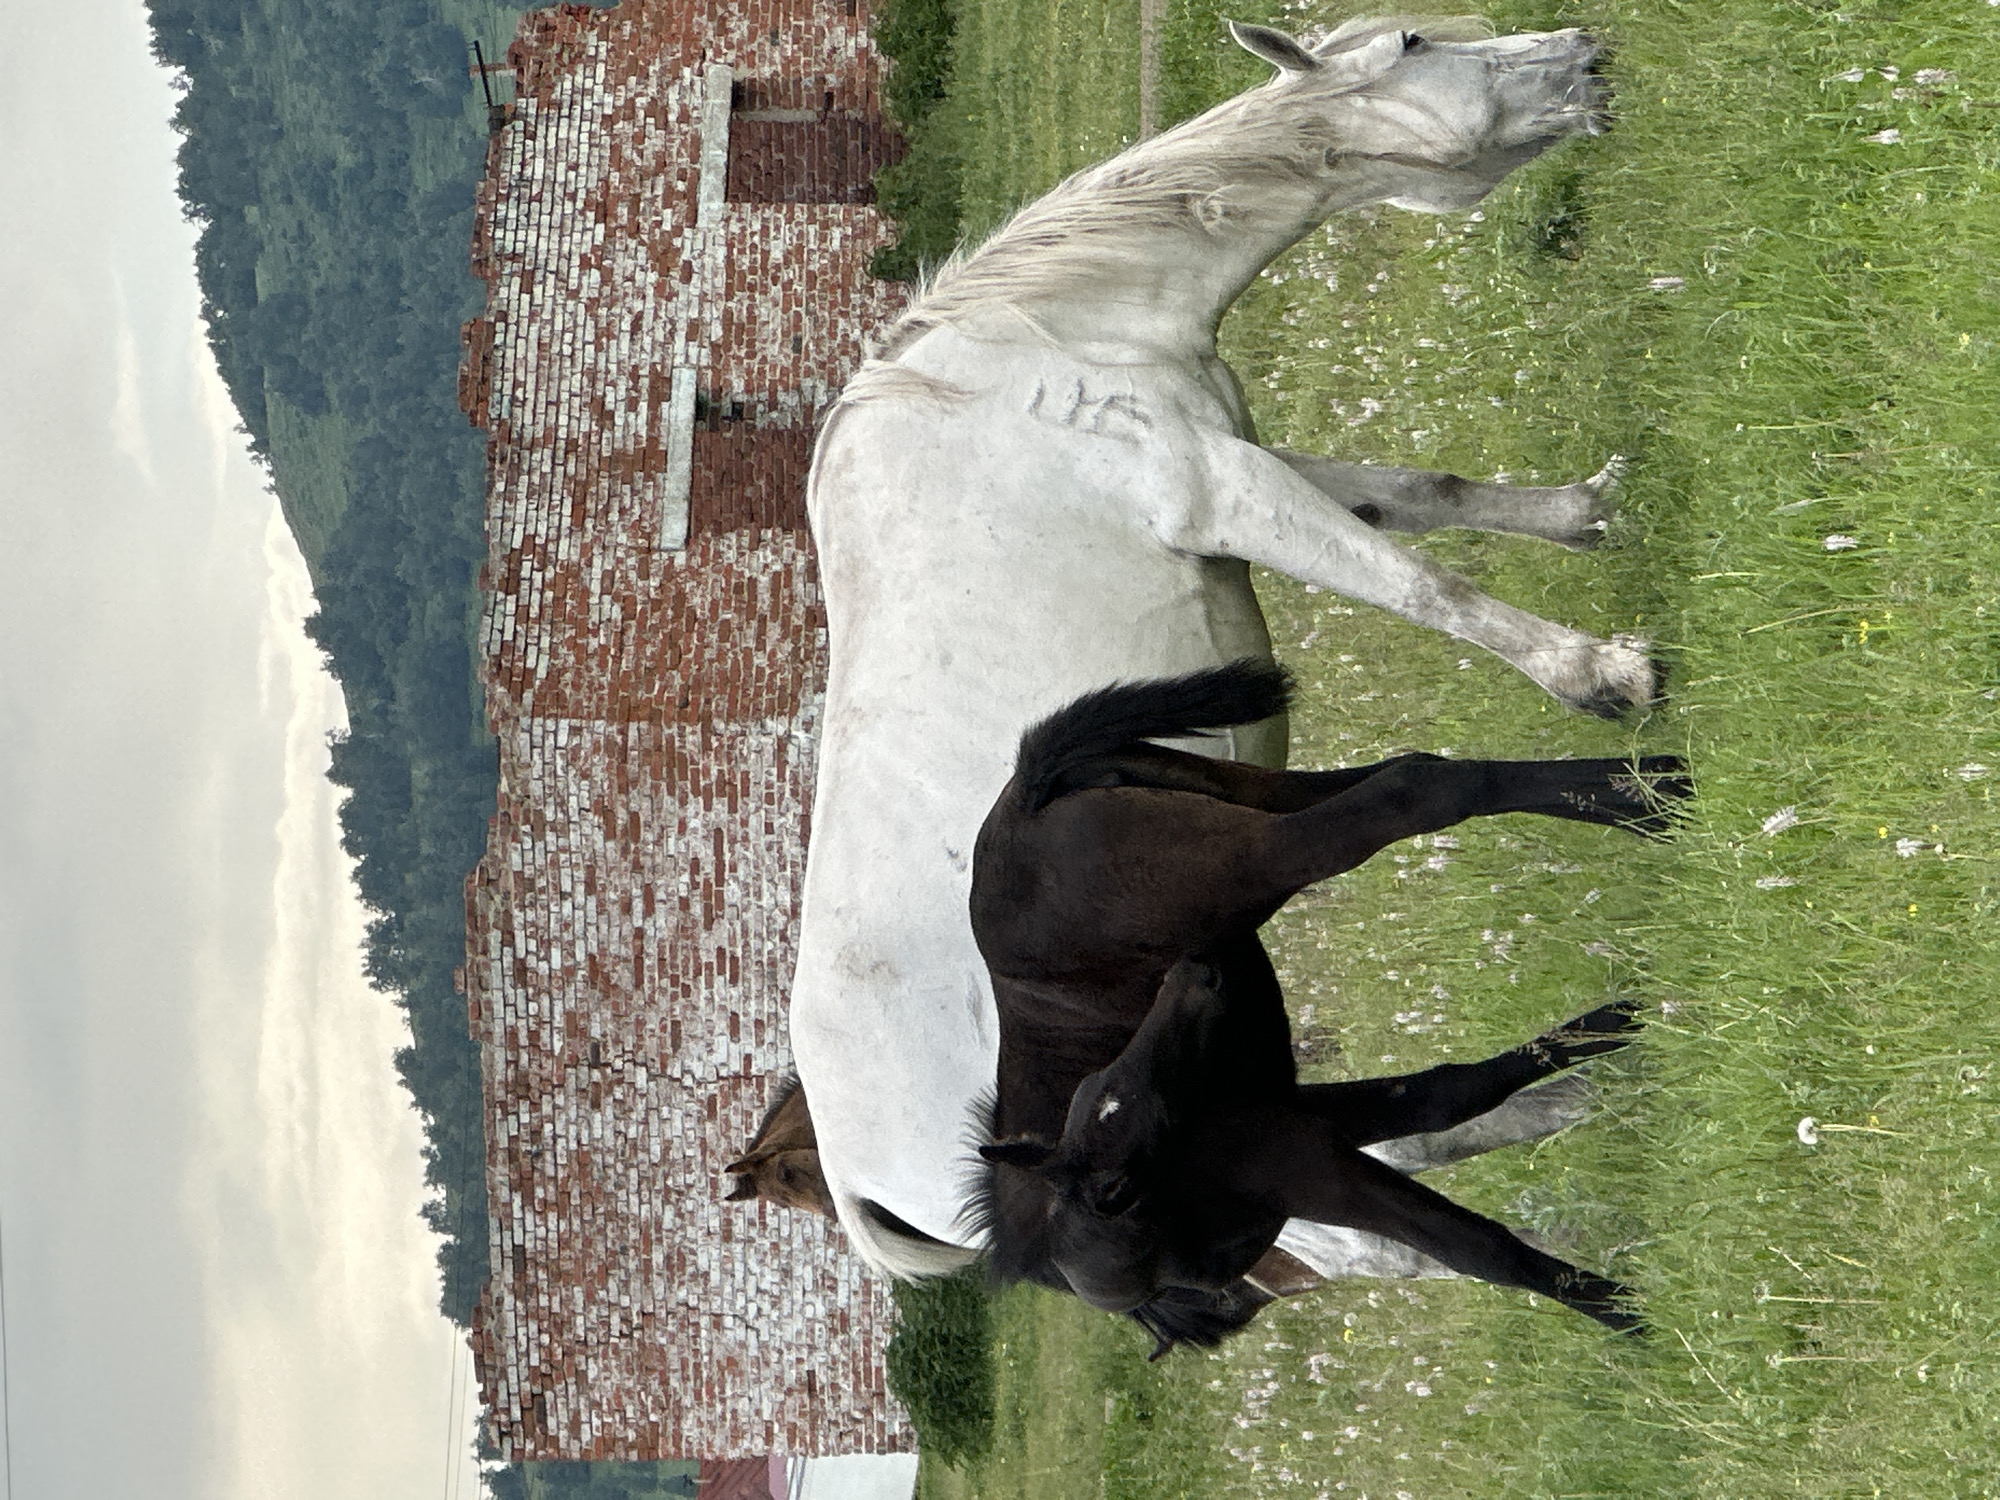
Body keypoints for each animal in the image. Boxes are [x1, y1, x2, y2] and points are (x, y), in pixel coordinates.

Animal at [792, 15, 1657, 1280]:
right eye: (1411, 42)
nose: (1582, 51)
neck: (1041, 344)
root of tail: (858, 1184)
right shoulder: (1223, 487)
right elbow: (1421, 584)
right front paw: (1600, 674)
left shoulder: (1257, 454)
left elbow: (1421, 495)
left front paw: (1586, 515)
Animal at [963, 662, 1685, 1332]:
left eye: (1121, 1102)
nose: (1194, 974)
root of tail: (1024, 796)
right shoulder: (1295, 1115)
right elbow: (1451, 1095)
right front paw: (1626, 1019)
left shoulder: (1299, 1162)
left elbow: (1477, 1249)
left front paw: (1630, 1318)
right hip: (1249, 794)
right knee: (1413, 768)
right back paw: (1655, 794)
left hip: (1252, 858)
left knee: (1414, 790)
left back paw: (1661, 798)